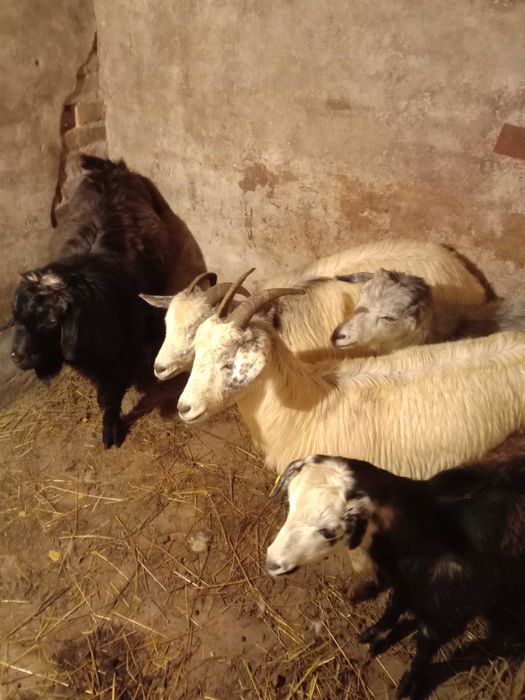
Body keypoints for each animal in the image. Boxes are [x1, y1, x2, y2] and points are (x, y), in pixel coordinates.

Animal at [11, 155, 206, 447]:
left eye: (52, 322)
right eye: (17, 318)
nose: (17, 356)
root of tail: (109, 168)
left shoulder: (119, 359)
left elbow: (110, 398)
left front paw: (111, 432)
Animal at [266, 452, 525, 699]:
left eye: (329, 531)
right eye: (290, 503)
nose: (272, 562)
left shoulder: (449, 614)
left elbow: (424, 649)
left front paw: (411, 684)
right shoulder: (403, 583)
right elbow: (393, 607)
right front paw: (375, 635)